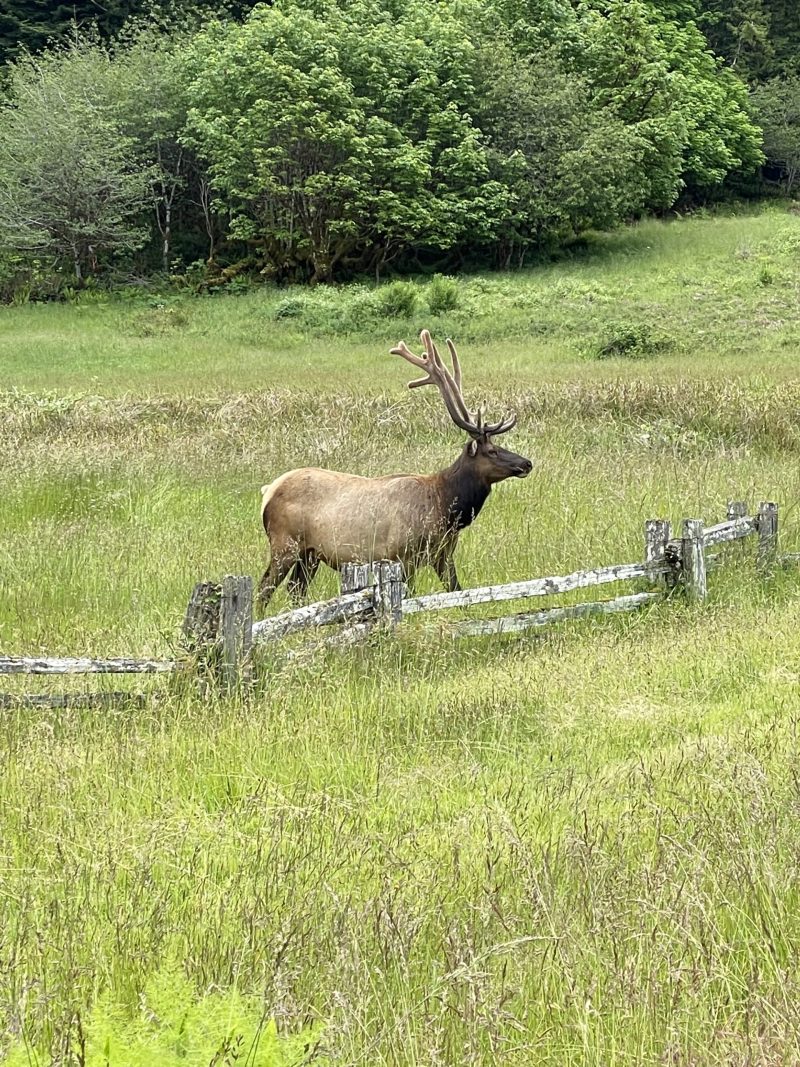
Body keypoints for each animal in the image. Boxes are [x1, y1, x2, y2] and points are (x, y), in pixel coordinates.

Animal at [257, 332, 533, 614]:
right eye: (491, 451)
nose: (527, 463)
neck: (445, 508)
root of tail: (268, 491)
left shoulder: (443, 554)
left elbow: (457, 591)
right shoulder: (403, 554)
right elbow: (411, 596)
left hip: (310, 554)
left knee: (295, 591)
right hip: (284, 544)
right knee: (264, 588)